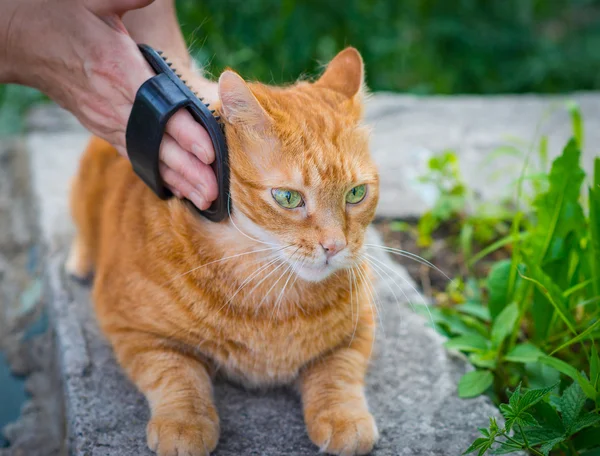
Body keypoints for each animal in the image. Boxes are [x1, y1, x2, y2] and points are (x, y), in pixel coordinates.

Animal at [67, 48, 380, 454]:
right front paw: (184, 423)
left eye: (356, 194)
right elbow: (176, 373)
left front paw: (344, 418)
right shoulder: (133, 328)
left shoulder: (359, 327)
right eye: (288, 198)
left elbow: (338, 372)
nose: (335, 245)